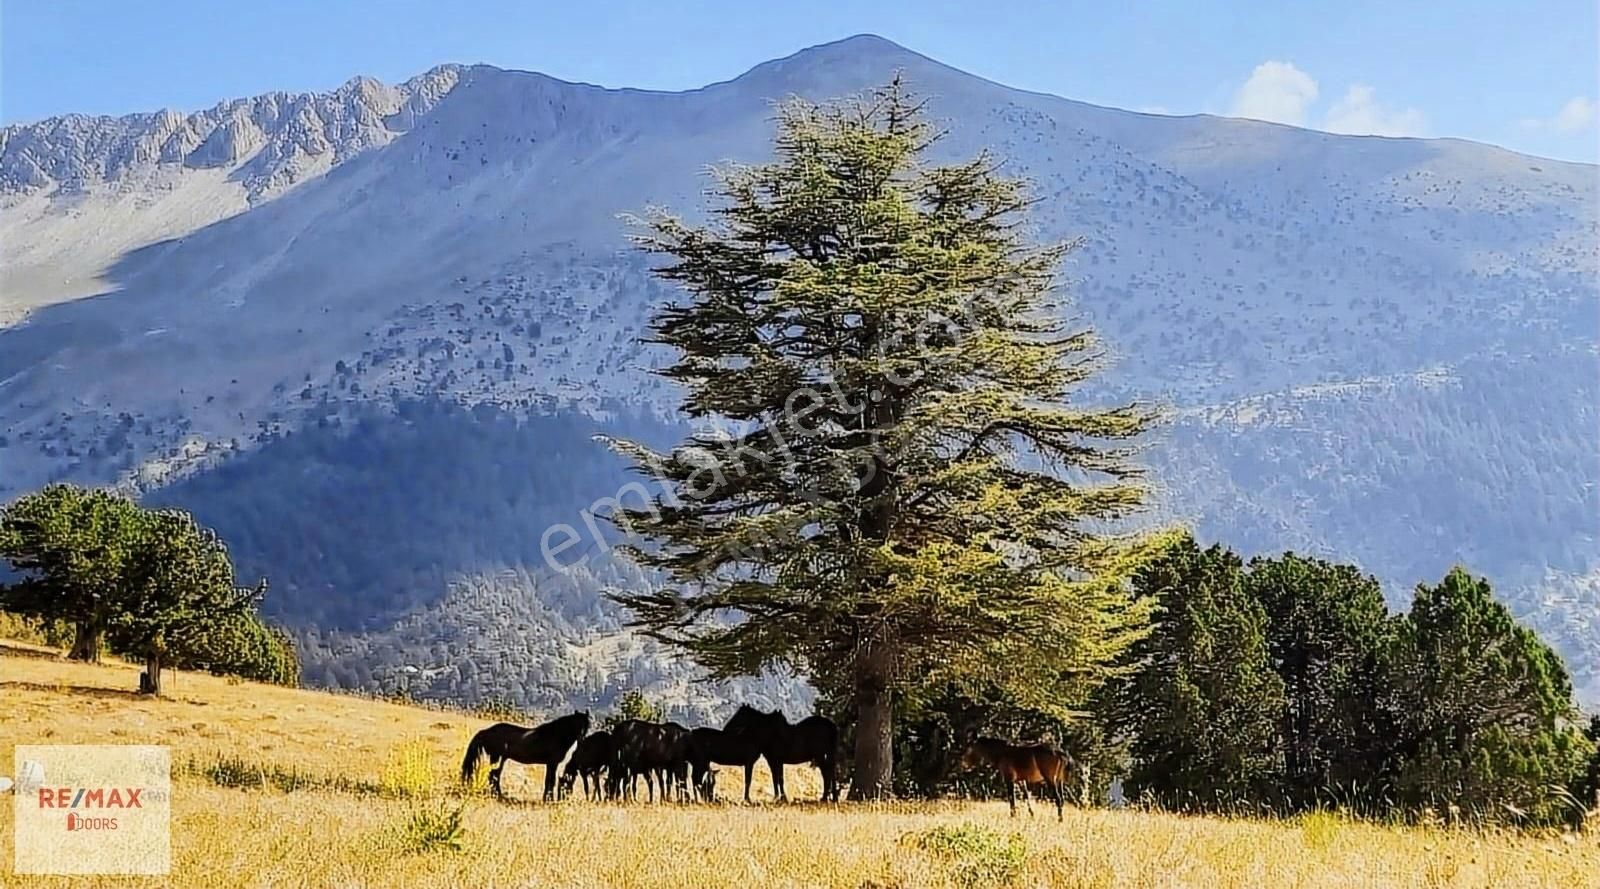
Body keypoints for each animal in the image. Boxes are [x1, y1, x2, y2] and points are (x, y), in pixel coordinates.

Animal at [460, 713, 592, 802]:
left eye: (587, 726)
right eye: (576, 724)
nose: (582, 739)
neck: (556, 735)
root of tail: (486, 731)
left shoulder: (550, 764)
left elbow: (549, 781)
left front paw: (546, 798)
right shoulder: (552, 763)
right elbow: (551, 781)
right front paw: (548, 799)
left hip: (500, 759)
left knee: (494, 776)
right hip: (497, 757)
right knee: (493, 776)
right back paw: (498, 795)